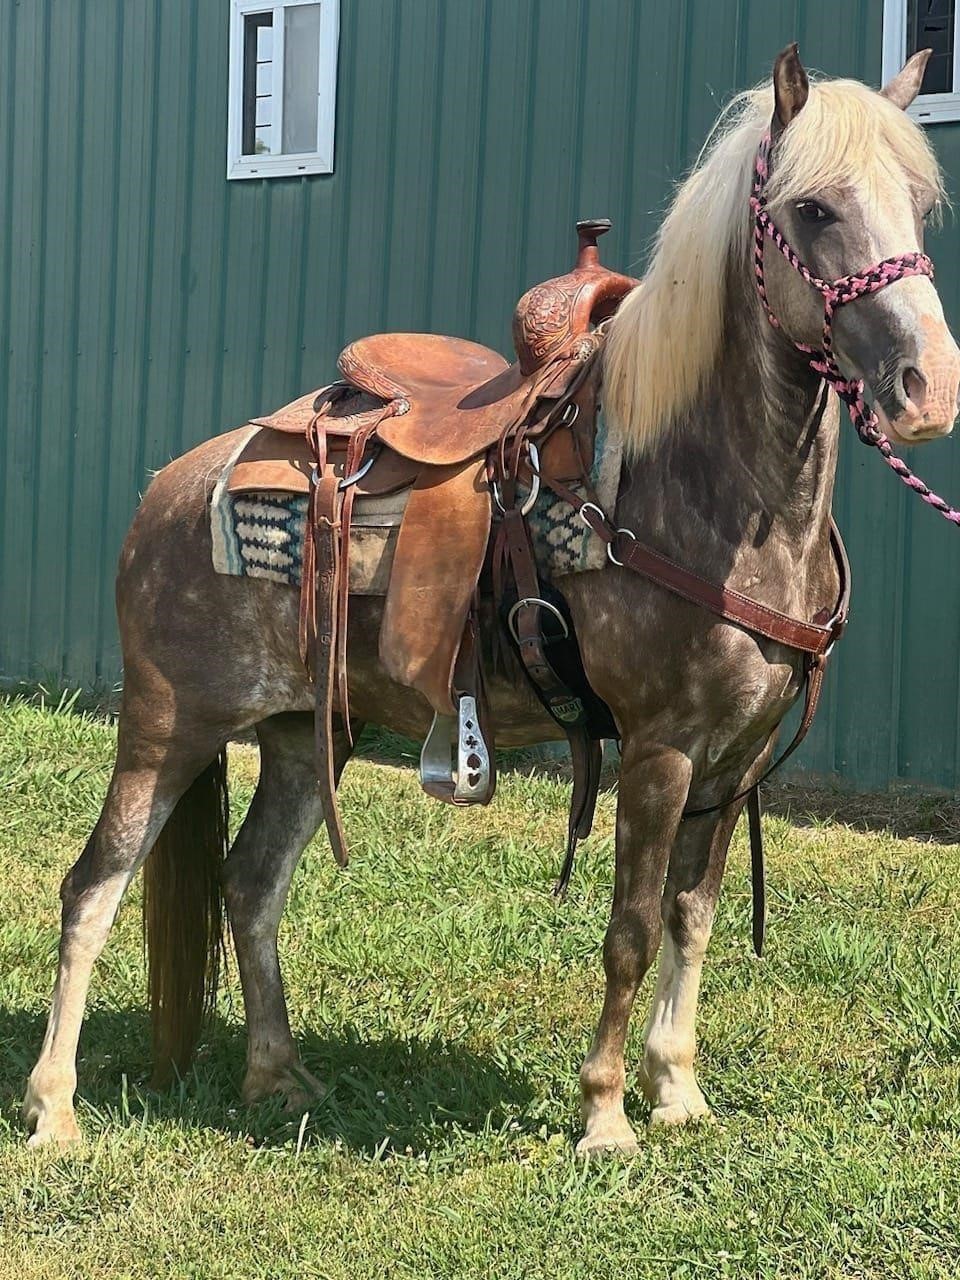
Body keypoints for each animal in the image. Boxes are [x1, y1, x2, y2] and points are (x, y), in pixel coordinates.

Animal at [22, 47, 960, 1162]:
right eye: (813, 209)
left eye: (920, 205)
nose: (930, 387)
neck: (707, 489)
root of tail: (168, 487)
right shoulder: (661, 748)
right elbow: (631, 927)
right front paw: (606, 1116)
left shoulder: (735, 760)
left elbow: (692, 914)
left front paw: (677, 1090)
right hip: (169, 722)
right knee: (95, 886)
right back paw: (53, 1108)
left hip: (306, 732)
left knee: (250, 882)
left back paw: (278, 1076)